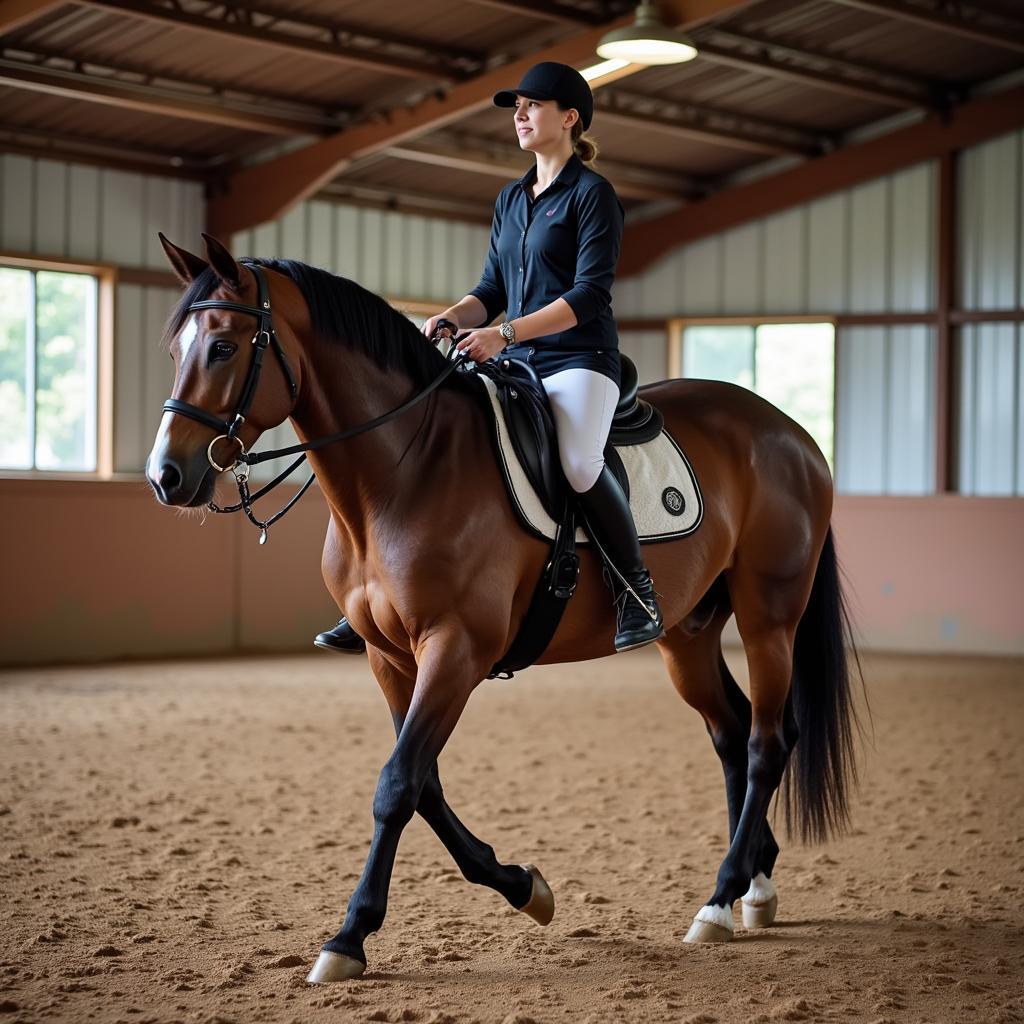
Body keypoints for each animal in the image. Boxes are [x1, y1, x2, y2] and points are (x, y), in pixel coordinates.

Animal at [148, 234, 860, 983]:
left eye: (223, 347)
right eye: (176, 350)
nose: (166, 477)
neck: (406, 470)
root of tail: (793, 435)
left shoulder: (456, 649)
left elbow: (398, 782)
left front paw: (349, 937)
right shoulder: (387, 655)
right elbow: (424, 784)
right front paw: (525, 887)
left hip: (769, 617)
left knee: (765, 742)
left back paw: (719, 901)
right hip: (688, 634)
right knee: (730, 733)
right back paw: (755, 883)